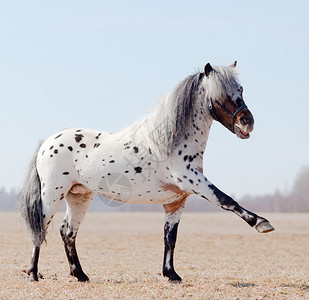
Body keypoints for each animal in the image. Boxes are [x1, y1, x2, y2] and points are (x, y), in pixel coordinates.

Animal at [18, 61, 274, 284]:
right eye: (219, 95)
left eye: (241, 89)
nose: (247, 121)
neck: (170, 142)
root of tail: (47, 142)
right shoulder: (195, 183)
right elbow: (227, 201)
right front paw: (262, 223)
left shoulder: (176, 201)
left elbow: (170, 238)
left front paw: (171, 274)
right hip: (52, 194)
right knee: (40, 228)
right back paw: (33, 274)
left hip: (79, 196)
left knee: (68, 232)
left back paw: (80, 275)